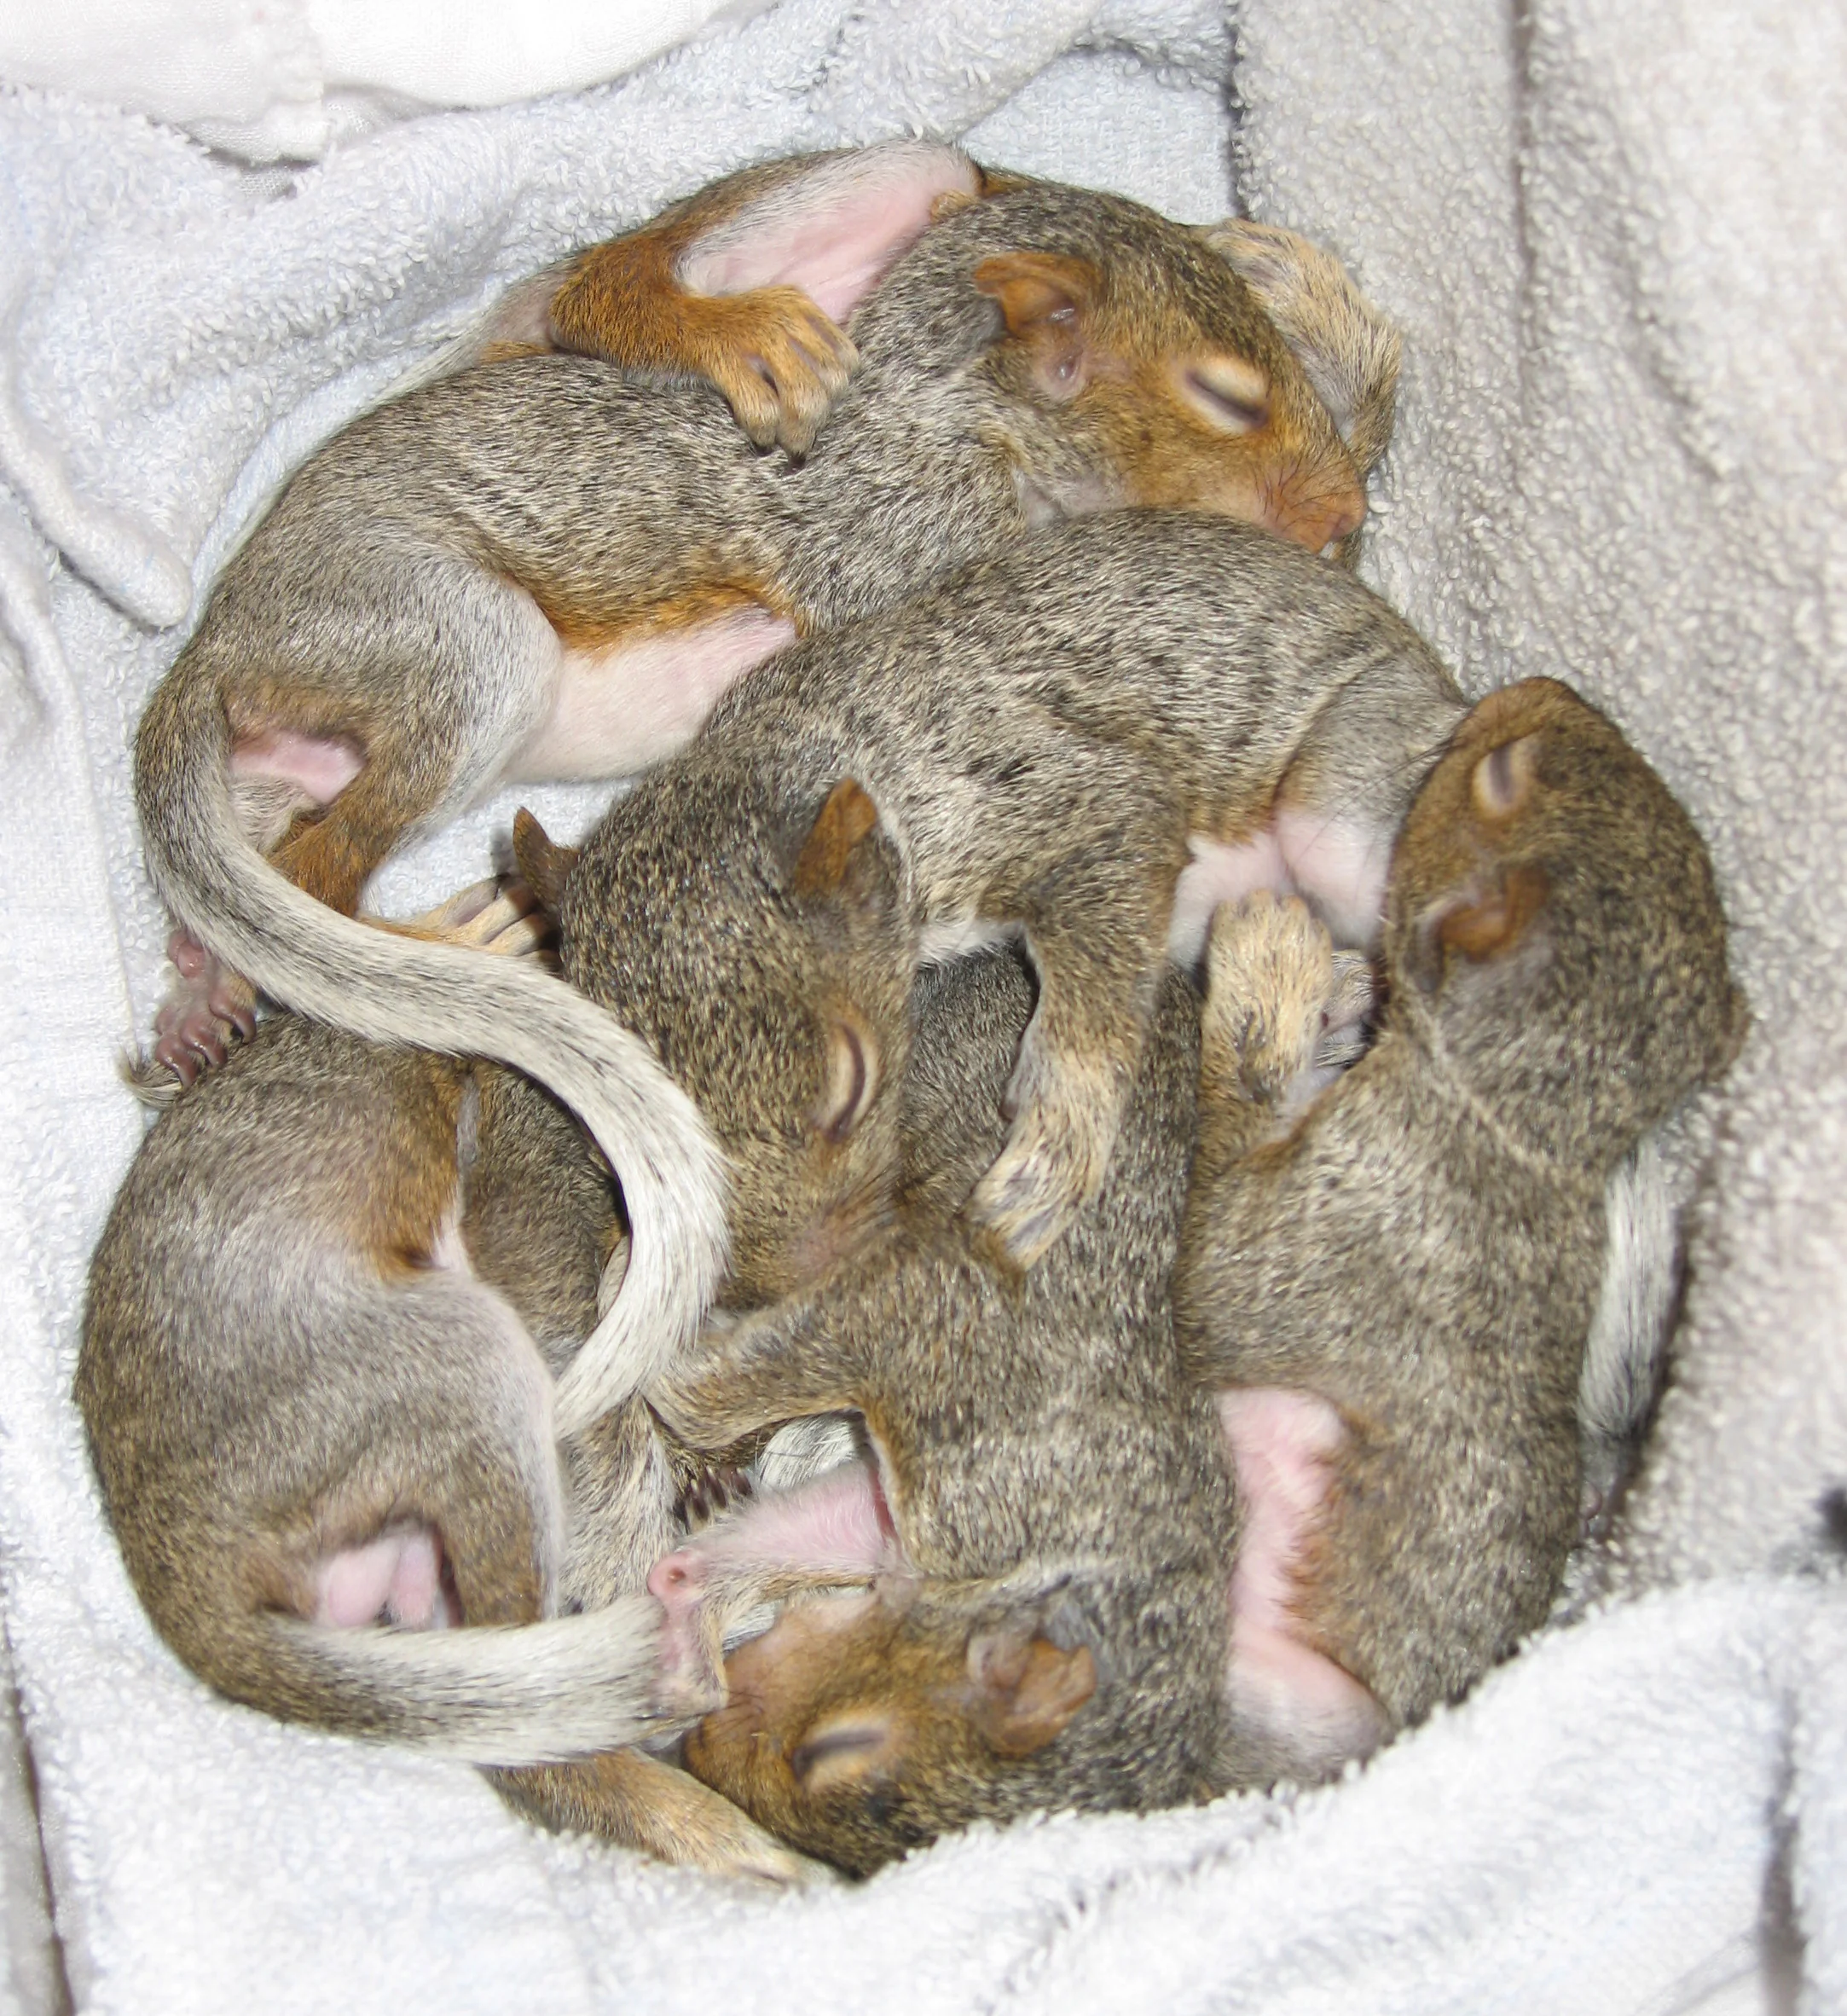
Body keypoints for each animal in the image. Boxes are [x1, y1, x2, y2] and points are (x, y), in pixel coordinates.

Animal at [129, 151, 1395, 1428]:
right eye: (1227, 398)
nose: (1347, 515)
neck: (961, 414)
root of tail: (223, 641)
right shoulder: (897, 544)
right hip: (455, 641)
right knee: (321, 863)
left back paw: (201, 992)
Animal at [1175, 678, 1747, 1734]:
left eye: (1500, 779)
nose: (1540, 687)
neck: (1519, 1119)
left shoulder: (1338, 1222)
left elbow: (1210, 1280)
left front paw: (1266, 961)